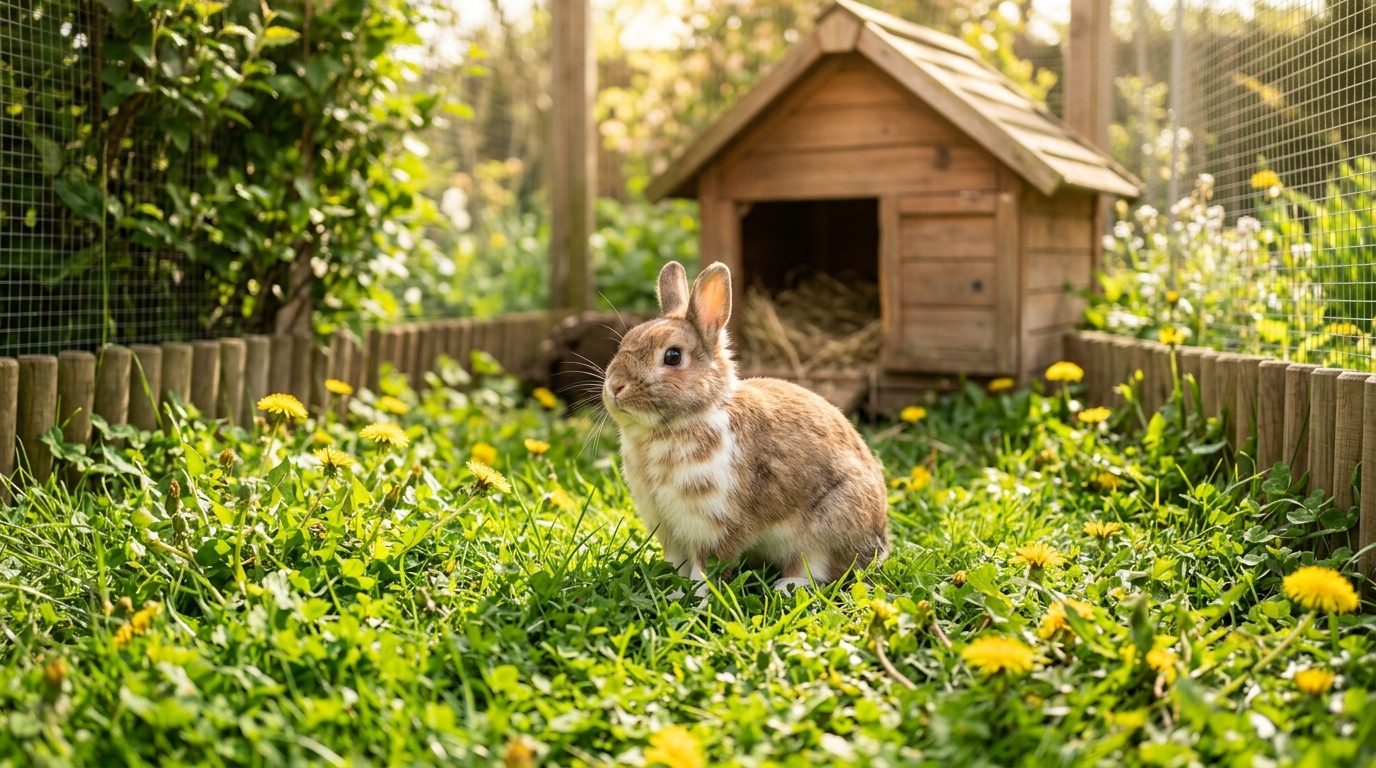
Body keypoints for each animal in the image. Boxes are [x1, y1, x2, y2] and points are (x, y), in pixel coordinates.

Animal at [602, 260, 889, 593]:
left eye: (672, 356)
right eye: (626, 341)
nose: (615, 386)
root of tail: (880, 542)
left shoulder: (715, 526)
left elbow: (706, 571)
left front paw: (697, 599)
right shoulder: (670, 530)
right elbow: (678, 565)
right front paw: (674, 591)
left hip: (829, 526)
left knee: (815, 568)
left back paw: (785, 587)